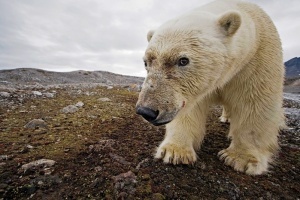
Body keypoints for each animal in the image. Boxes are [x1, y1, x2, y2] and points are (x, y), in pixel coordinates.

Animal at [135, 0, 284, 175]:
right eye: (146, 62)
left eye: (183, 60)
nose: (146, 111)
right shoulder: (195, 89)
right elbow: (191, 109)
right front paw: (174, 151)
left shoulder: (256, 62)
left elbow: (255, 103)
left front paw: (241, 159)